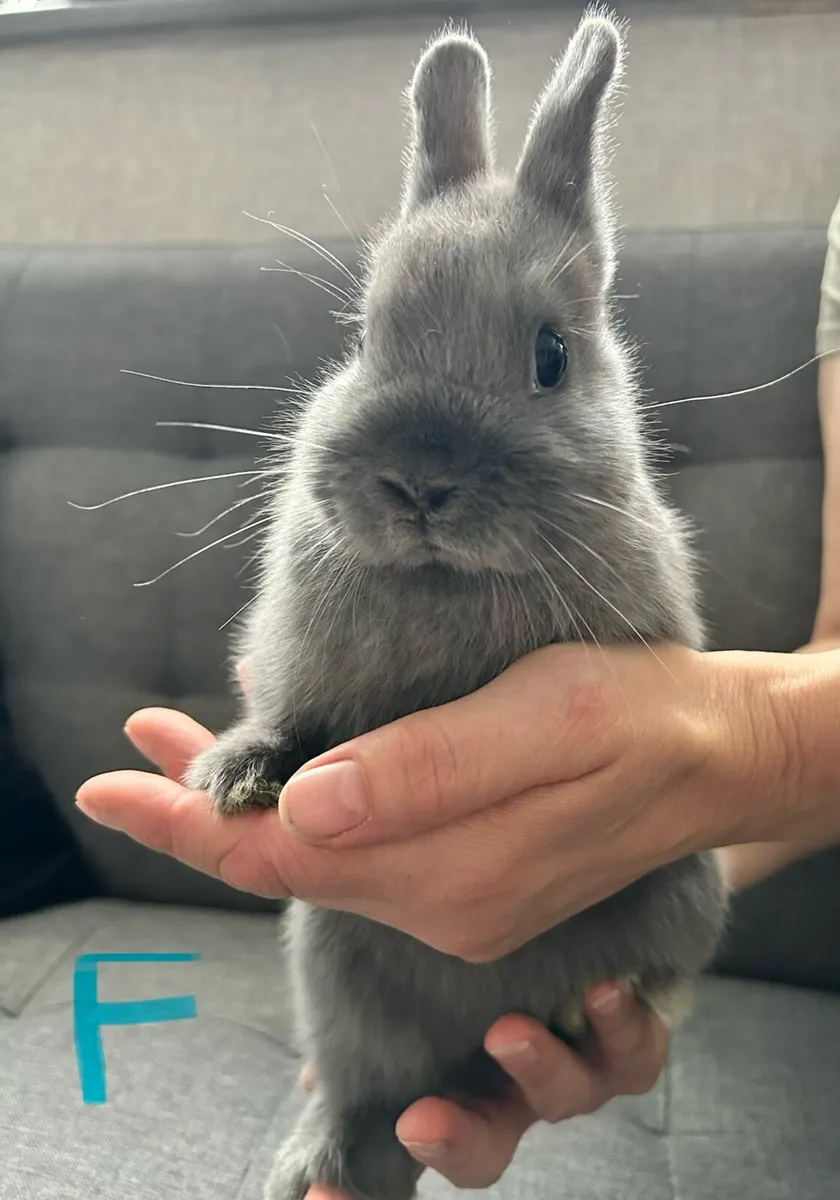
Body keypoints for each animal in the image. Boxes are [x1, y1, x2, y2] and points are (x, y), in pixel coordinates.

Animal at [186, 8, 729, 1199]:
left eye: (551, 356)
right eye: (365, 334)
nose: (419, 482)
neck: (448, 576)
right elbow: (291, 722)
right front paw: (235, 776)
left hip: (685, 894)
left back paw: (575, 1012)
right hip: (333, 969)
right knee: (366, 1087)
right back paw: (318, 1159)